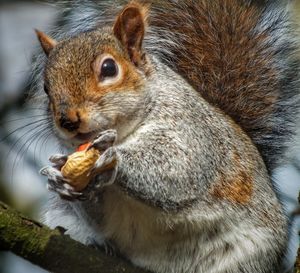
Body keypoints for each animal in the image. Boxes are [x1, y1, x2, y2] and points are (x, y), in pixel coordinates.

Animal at [35, 0, 300, 272]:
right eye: (46, 87)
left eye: (109, 68)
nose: (67, 120)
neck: (125, 133)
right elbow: (100, 217)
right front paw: (59, 178)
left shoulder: (195, 134)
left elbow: (178, 170)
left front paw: (111, 156)